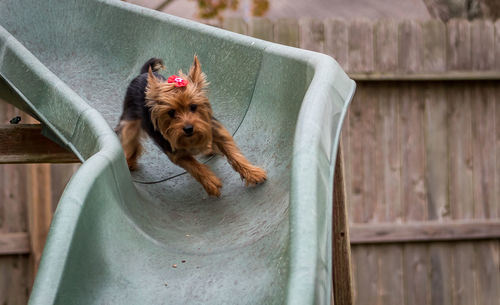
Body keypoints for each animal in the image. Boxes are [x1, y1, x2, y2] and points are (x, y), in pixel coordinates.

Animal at [115, 55, 268, 196]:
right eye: (171, 112)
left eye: (193, 106)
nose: (188, 129)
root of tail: (142, 74)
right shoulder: (176, 153)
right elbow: (194, 166)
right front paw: (210, 181)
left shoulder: (214, 130)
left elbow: (233, 152)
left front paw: (252, 173)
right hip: (130, 122)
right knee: (130, 140)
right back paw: (129, 162)